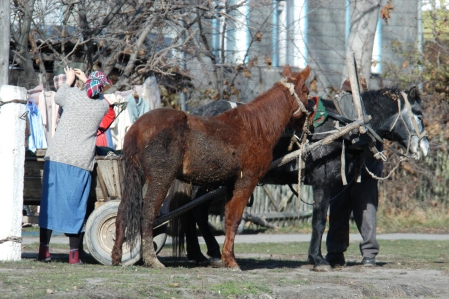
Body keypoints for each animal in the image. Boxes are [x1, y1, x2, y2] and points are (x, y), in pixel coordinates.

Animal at [110, 63, 310, 270]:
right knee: (147, 214)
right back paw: (152, 258)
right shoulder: (247, 180)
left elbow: (228, 217)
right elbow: (234, 218)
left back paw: (117, 256)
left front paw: (226, 256)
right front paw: (230, 260)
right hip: (161, 179)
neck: (256, 127)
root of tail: (137, 127)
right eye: (307, 91)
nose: (309, 119)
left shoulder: (230, 185)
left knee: (123, 211)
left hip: (136, 176)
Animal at [166, 85, 428, 270]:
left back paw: (199, 253)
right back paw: (208, 251)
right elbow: (319, 220)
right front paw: (317, 259)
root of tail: (195, 113)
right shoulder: (323, 182)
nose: (425, 147)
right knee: (196, 211)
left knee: (193, 212)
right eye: (418, 114)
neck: (346, 127)